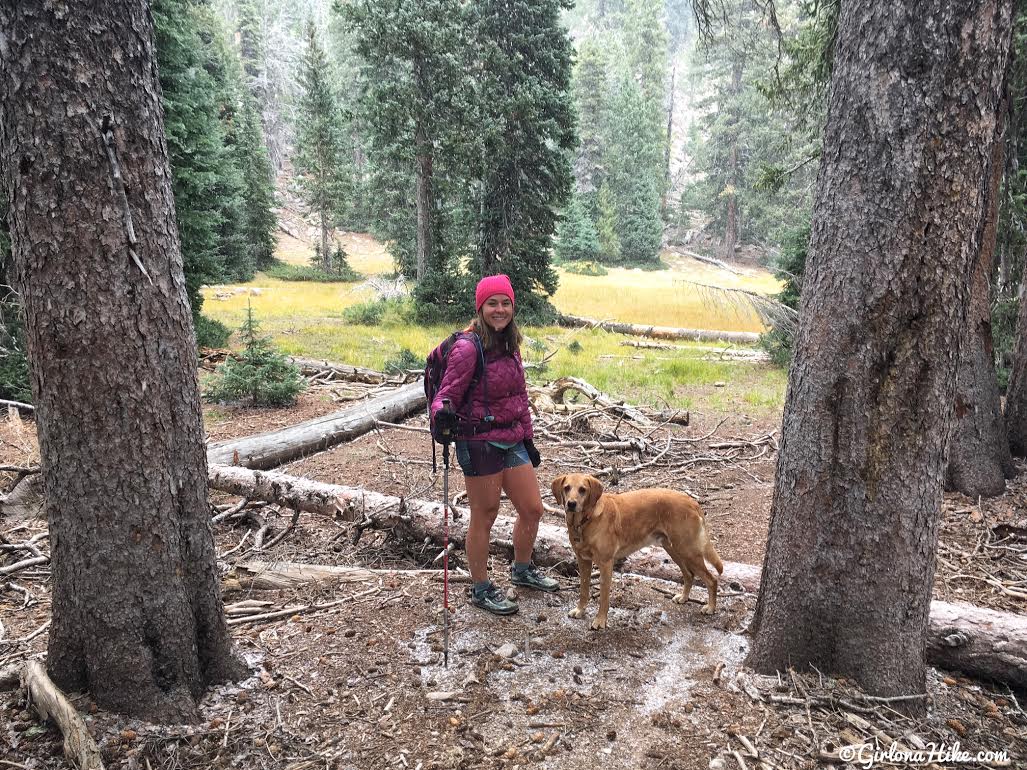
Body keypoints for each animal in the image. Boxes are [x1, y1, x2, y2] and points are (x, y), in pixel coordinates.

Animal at [554, 474, 723, 628]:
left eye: (583, 490)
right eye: (566, 488)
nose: (571, 504)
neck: (585, 521)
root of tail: (692, 501)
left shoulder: (606, 563)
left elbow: (604, 597)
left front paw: (600, 621)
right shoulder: (583, 561)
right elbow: (583, 590)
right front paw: (580, 610)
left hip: (688, 550)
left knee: (712, 579)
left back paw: (711, 608)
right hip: (674, 549)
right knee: (689, 574)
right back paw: (683, 597)